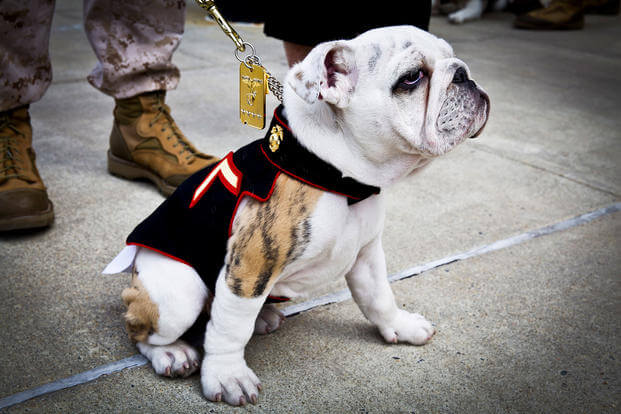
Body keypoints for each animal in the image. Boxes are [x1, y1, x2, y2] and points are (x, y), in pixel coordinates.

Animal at [103, 24, 490, 406]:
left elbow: (379, 296)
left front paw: (400, 325)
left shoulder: (366, 254)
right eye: (412, 78)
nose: (464, 74)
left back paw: (262, 317)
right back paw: (171, 352)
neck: (340, 178)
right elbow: (229, 331)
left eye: (452, 56)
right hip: (177, 295)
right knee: (141, 328)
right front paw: (227, 375)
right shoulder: (250, 265)